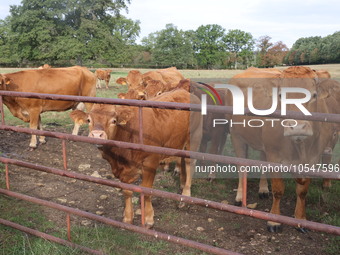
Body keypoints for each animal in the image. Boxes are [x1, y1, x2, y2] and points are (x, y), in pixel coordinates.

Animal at [72, 89, 202, 227]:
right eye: (89, 120)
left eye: (114, 121)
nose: (97, 135)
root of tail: (184, 91)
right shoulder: (124, 171)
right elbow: (127, 191)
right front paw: (128, 217)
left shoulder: (150, 162)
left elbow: (147, 190)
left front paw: (149, 218)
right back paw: (182, 186)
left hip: (194, 137)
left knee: (189, 163)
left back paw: (186, 195)